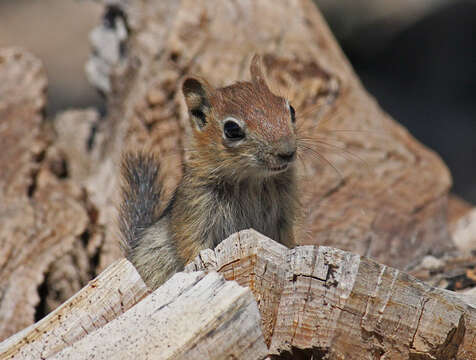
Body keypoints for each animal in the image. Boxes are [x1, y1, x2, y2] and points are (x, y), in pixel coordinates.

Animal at [119, 54, 298, 288]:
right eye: (232, 129)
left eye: (291, 109)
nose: (287, 152)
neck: (251, 179)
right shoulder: (195, 207)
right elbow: (191, 243)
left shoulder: (285, 213)